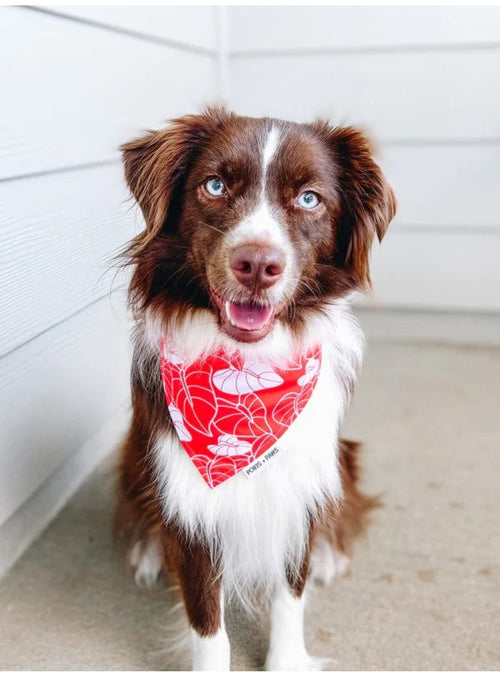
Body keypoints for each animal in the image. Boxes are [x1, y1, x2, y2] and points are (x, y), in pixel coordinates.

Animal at [116, 108, 394, 668]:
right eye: (215, 185)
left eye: (309, 198)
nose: (258, 265)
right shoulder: (191, 506)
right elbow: (207, 624)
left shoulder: (296, 486)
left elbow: (291, 594)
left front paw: (287, 662)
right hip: (135, 453)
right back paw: (149, 551)